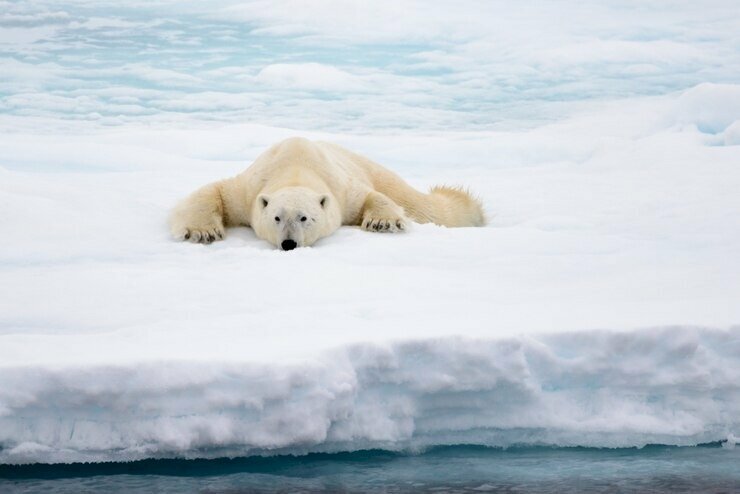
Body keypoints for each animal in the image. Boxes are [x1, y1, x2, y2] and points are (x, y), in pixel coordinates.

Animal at [171, 137, 488, 249]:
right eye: (276, 218)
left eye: (304, 218)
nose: (289, 244)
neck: (295, 167)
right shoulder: (249, 189)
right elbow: (216, 191)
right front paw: (203, 232)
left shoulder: (341, 189)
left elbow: (369, 197)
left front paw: (381, 222)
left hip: (374, 170)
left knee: (424, 205)